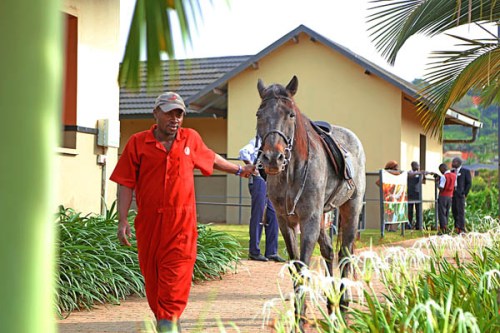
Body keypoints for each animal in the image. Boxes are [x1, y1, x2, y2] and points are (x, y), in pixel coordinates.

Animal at [256, 76, 366, 330]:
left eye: (290, 114)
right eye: (259, 114)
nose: (273, 158)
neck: (291, 172)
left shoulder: (309, 221)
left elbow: (305, 266)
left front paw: (300, 318)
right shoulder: (286, 222)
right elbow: (296, 268)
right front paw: (300, 315)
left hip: (350, 209)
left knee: (345, 253)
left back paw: (343, 304)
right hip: (323, 216)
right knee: (329, 252)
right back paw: (331, 301)